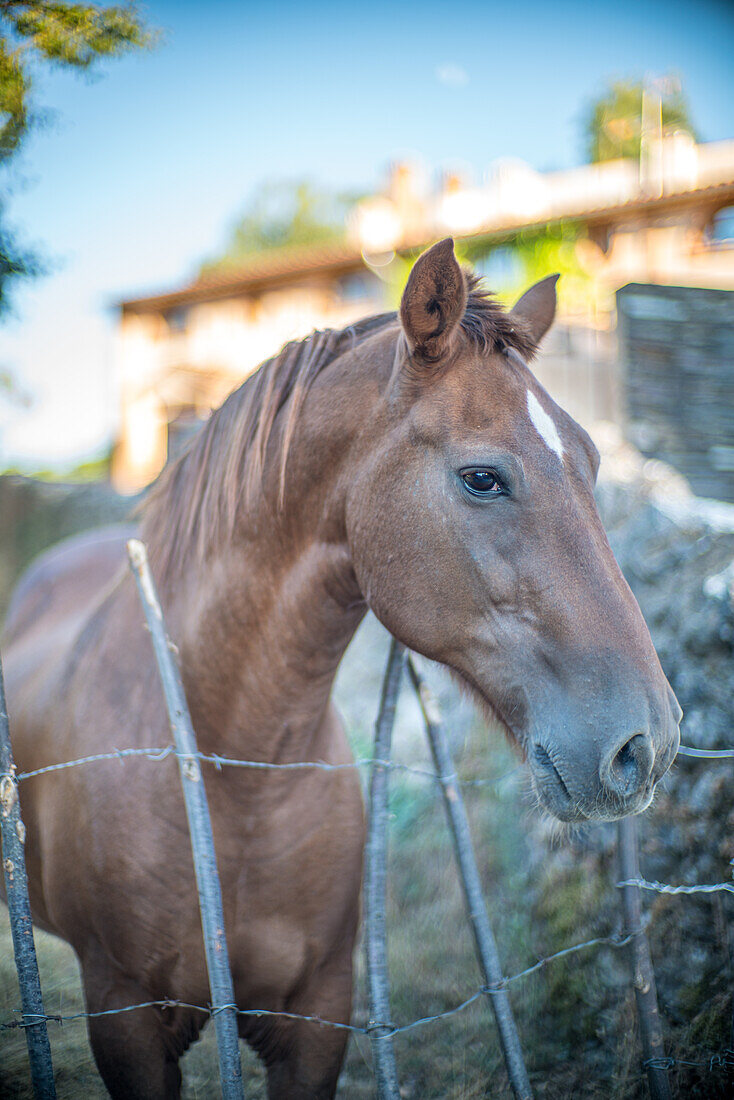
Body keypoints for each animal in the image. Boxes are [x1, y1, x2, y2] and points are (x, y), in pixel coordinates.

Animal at [1, 243, 677, 1100]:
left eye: (591, 464)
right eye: (481, 477)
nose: (648, 744)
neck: (236, 770)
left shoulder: (319, 1016)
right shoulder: (125, 1020)